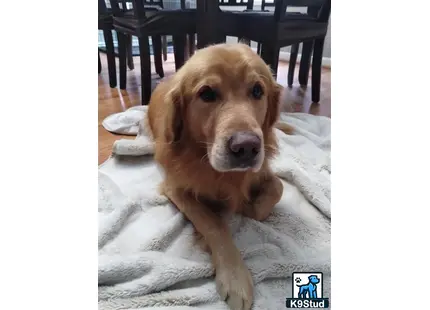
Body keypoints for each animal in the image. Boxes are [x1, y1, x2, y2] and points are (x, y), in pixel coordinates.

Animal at [147, 43, 292, 310]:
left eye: (257, 90)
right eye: (206, 94)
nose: (246, 147)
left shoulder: (261, 172)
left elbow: (276, 188)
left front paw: (249, 205)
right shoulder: (176, 188)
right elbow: (214, 223)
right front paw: (235, 277)